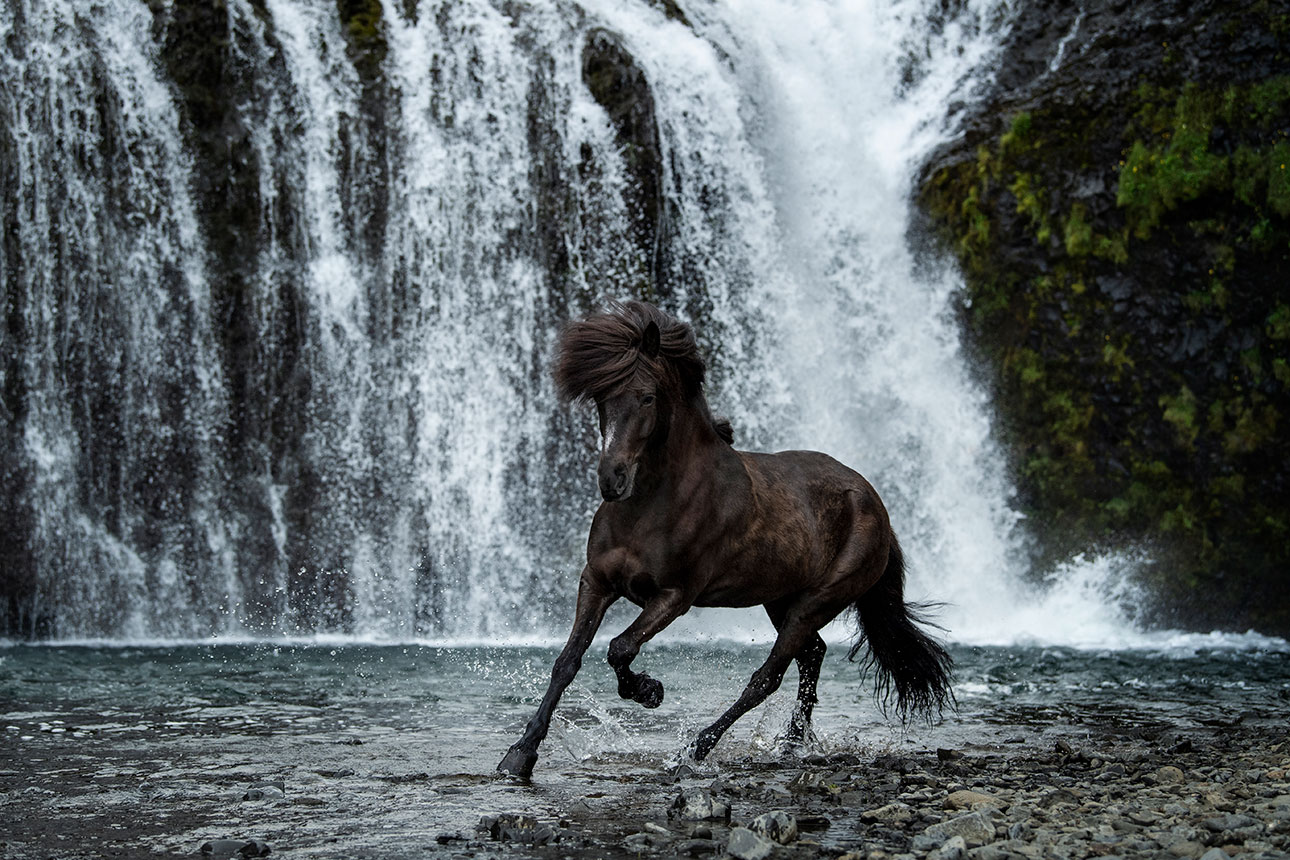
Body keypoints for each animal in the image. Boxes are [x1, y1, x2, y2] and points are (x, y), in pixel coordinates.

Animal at [497, 299, 954, 778]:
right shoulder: (597, 582)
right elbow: (567, 662)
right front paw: (520, 754)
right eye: (602, 398)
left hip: (819, 601)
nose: (611, 479)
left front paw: (649, 691)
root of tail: (872, 499)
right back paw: (789, 745)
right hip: (781, 598)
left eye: (647, 396)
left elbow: (620, 648)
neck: (653, 503)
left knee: (767, 677)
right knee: (811, 656)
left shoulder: (675, 595)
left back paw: (694, 751)